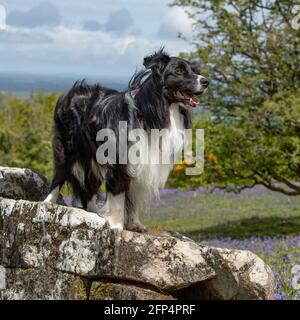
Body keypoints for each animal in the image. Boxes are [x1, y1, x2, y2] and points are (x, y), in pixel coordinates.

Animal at [44, 48, 209, 231]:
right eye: (179, 71)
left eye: (195, 71)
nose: (206, 81)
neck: (153, 111)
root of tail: (72, 92)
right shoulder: (120, 161)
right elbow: (118, 195)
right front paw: (116, 225)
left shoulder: (142, 162)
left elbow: (133, 198)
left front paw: (134, 223)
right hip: (68, 147)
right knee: (60, 175)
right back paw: (48, 203)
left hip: (93, 156)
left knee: (90, 185)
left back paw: (95, 213)